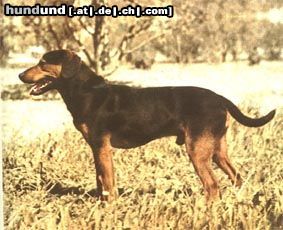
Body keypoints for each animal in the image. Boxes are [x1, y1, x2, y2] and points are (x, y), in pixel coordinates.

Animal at [18, 49, 276, 201]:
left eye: (43, 63)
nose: (20, 76)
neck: (87, 91)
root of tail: (220, 98)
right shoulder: (96, 148)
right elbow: (101, 180)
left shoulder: (102, 147)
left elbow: (108, 181)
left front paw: (109, 207)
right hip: (217, 150)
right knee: (237, 177)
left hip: (198, 151)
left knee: (213, 186)